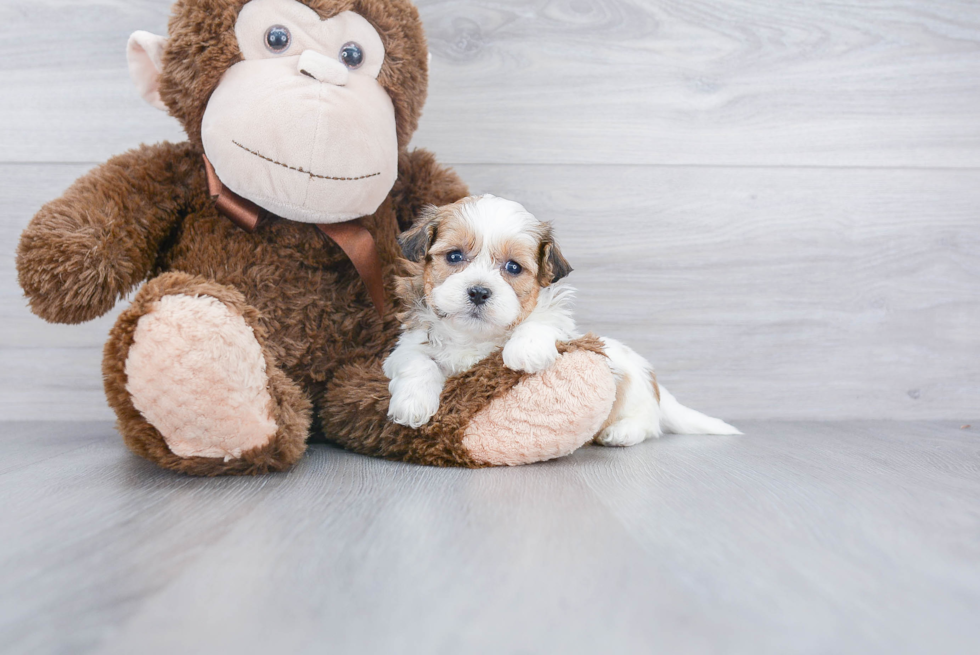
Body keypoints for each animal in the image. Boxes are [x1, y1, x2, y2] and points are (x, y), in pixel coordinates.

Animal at [378, 192, 740, 444]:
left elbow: (544, 321)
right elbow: (417, 361)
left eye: (513, 267)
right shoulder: (403, 347)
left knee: (649, 424)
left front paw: (524, 350)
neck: (475, 336)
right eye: (454, 256)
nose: (479, 292)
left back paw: (622, 433)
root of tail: (656, 385)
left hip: (634, 391)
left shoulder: (562, 328)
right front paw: (413, 404)